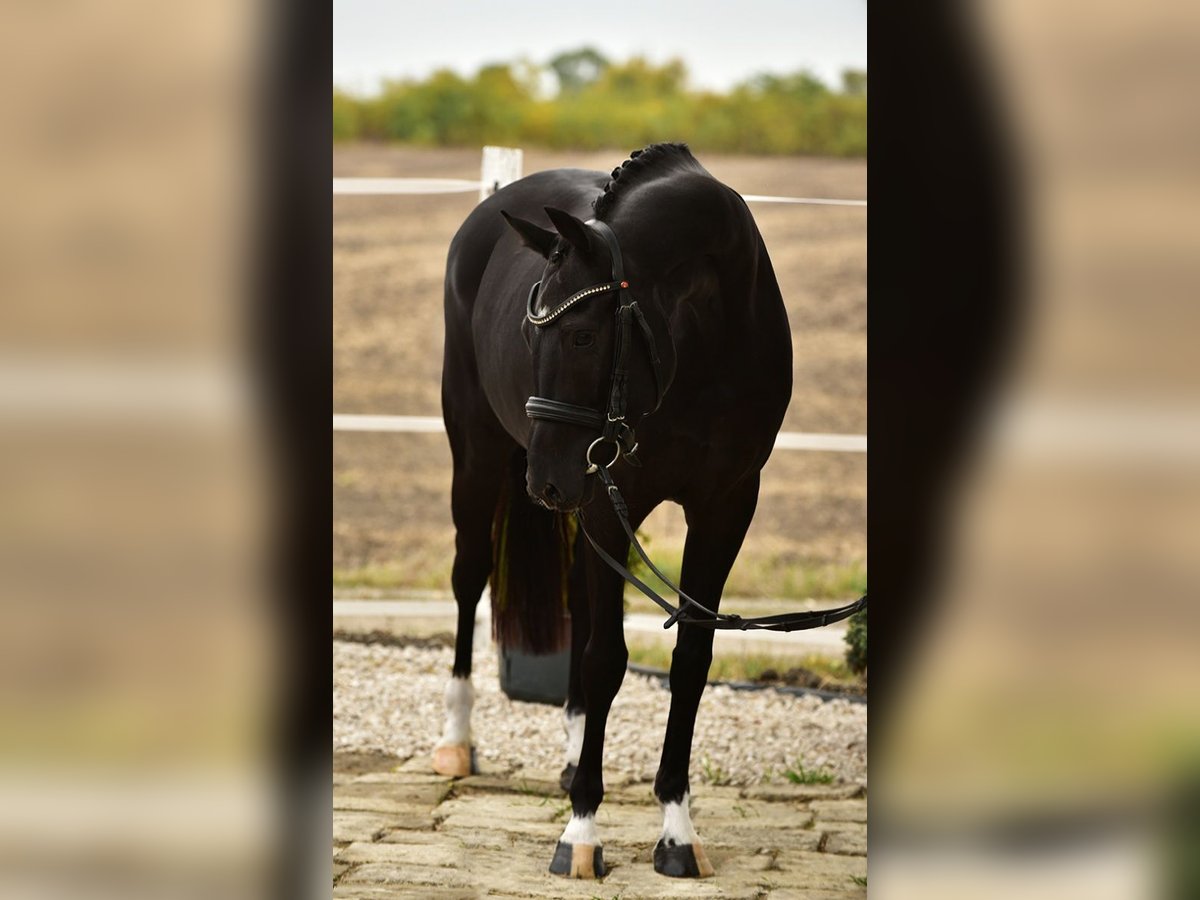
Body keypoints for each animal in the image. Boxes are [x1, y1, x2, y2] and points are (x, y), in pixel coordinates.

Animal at [433, 143, 792, 879]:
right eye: (530, 335)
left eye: (581, 336)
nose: (544, 480)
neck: (708, 341)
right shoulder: (605, 495)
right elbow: (606, 658)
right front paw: (581, 834)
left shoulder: (726, 507)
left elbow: (691, 659)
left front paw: (677, 833)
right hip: (480, 460)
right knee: (468, 578)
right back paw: (457, 741)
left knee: (575, 593)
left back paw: (575, 756)